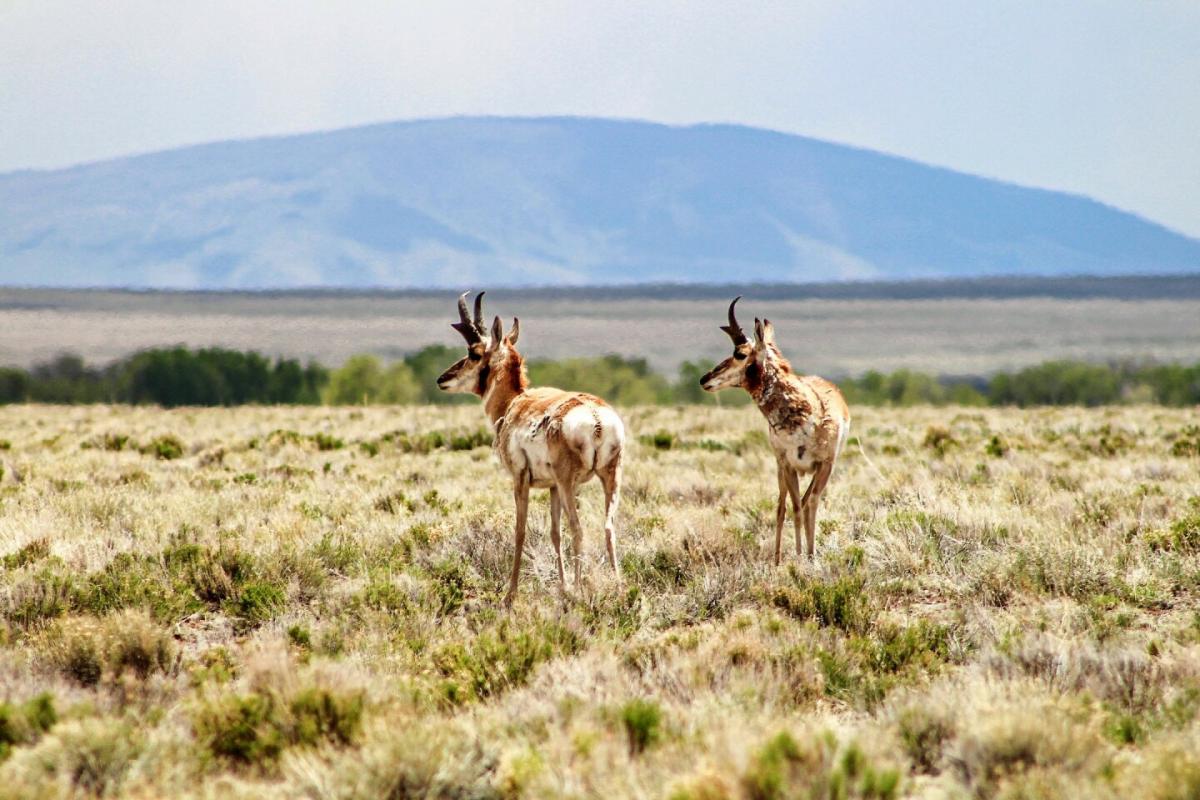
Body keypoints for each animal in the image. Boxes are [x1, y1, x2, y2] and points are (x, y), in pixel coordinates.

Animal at [436, 293, 624, 606]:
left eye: (474, 353)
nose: (442, 379)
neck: (514, 402)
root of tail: (596, 417)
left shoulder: (520, 479)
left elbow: (520, 531)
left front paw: (510, 595)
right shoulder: (551, 487)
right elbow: (554, 533)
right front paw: (561, 586)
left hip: (570, 483)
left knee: (578, 528)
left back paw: (580, 590)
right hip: (609, 478)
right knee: (608, 527)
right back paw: (620, 587)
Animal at [700, 298, 849, 563]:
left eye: (740, 354)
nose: (705, 379)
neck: (808, 413)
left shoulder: (825, 465)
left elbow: (811, 504)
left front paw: (811, 556)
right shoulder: (788, 464)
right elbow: (795, 509)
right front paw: (799, 556)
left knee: (803, 501)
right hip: (781, 469)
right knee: (782, 506)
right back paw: (778, 558)